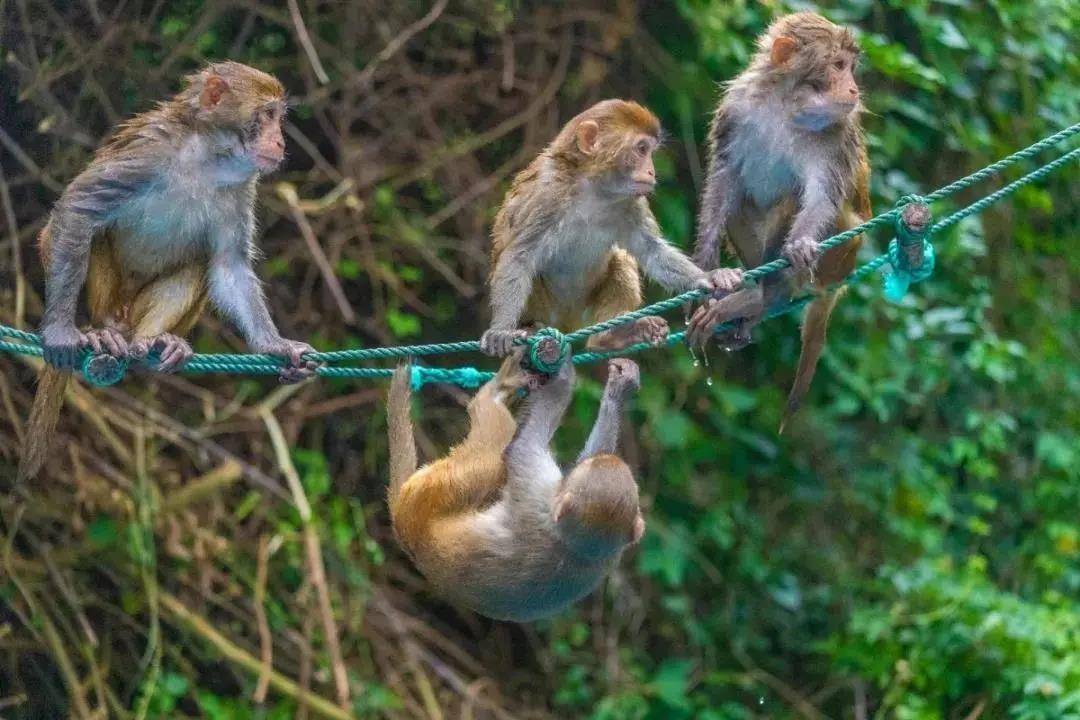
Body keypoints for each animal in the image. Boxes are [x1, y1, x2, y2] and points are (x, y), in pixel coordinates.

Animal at [19, 60, 317, 479]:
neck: (207, 157)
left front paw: (274, 345)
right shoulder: (148, 152)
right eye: (268, 115)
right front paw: (60, 330)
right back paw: (104, 331)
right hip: (109, 297)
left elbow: (229, 267)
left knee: (199, 262)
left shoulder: (241, 185)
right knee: (91, 233)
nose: (280, 142)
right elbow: (78, 209)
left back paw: (155, 340)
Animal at [386, 351, 639, 621]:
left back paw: (494, 393)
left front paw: (562, 374)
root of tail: (407, 533)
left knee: (494, 453)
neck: (582, 549)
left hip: (431, 493)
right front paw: (619, 387)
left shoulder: (536, 494)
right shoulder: (611, 554)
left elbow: (520, 448)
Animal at [481, 99, 743, 358]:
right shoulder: (546, 194)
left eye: (649, 151)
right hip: (546, 307)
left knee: (621, 260)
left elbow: (652, 251)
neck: (593, 190)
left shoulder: (631, 203)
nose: (652, 171)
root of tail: (567, 323)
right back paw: (532, 328)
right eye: (641, 149)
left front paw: (707, 277)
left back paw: (610, 338)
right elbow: (519, 256)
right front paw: (501, 330)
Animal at [686, 14, 872, 431]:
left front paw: (799, 245)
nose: (854, 88)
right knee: (742, 200)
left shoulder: (836, 133)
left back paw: (769, 294)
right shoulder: (736, 109)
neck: (786, 104)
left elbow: (821, 196)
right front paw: (706, 261)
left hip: (842, 254)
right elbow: (725, 176)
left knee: (795, 199)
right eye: (838, 65)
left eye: (849, 67)